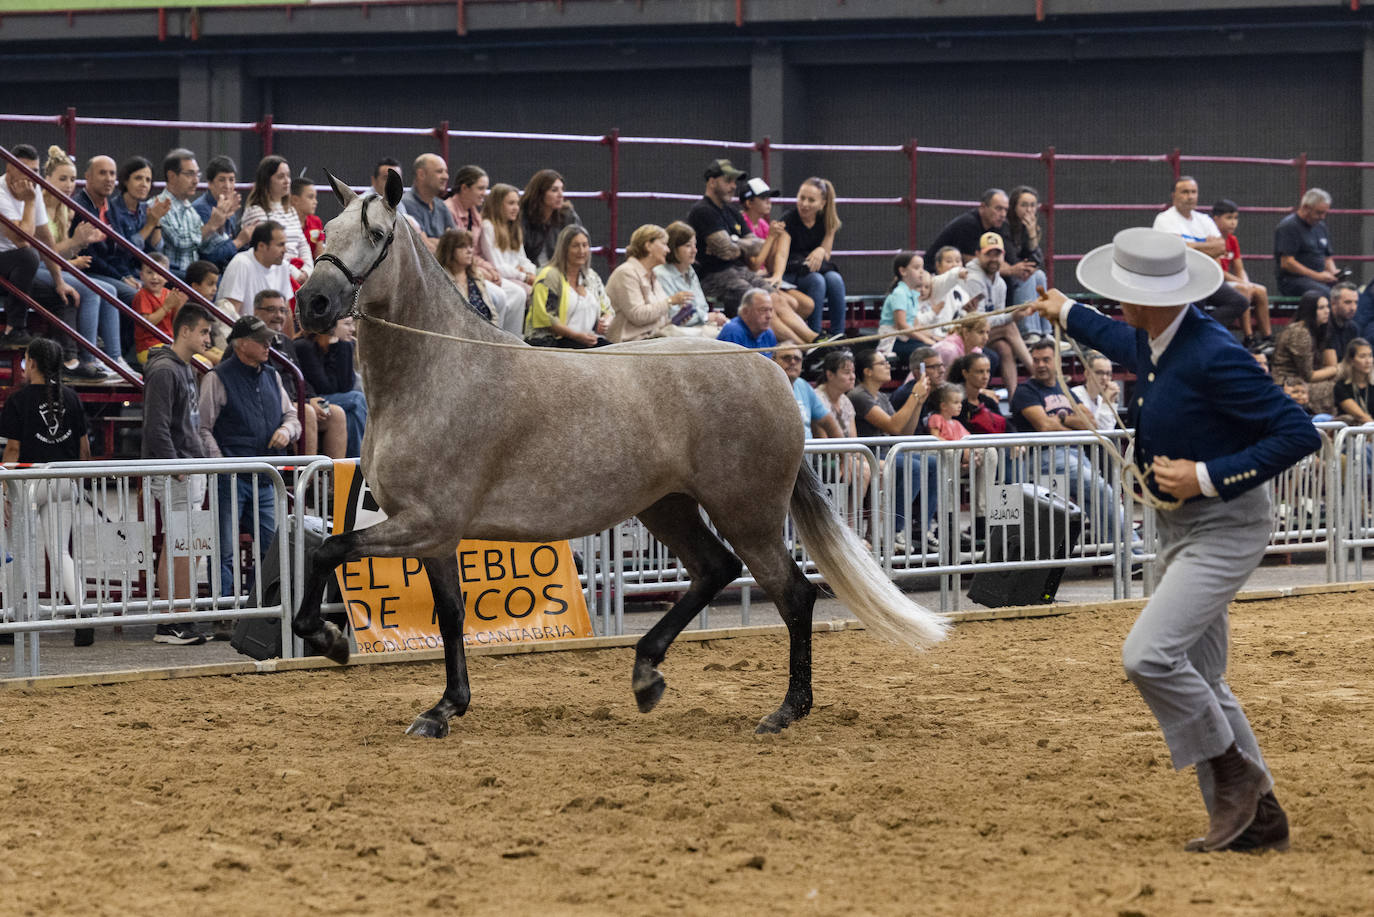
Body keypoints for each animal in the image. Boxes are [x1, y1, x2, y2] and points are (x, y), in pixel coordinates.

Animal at [294, 171, 950, 736]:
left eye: (376, 236)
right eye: (325, 234)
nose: (314, 305)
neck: (435, 373)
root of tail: (769, 372)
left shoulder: (426, 523)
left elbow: (330, 549)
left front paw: (329, 640)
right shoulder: (432, 534)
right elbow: (449, 615)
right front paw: (443, 708)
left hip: (747, 515)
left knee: (792, 593)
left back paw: (786, 710)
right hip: (670, 507)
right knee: (716, 569)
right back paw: (646, 674)